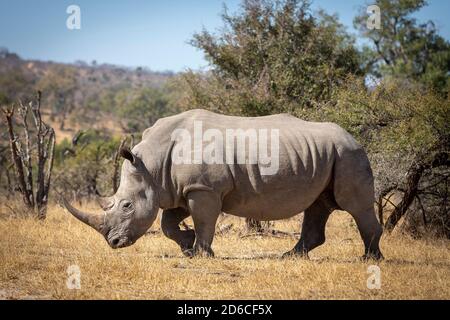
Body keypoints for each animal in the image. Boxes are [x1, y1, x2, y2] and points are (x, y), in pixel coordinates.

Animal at [64, 109, 384, 258]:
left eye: (127, 206)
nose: (114, 243)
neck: (151, 163)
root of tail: (355, 138)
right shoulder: (181, 188)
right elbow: (168, 224)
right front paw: (188, 245)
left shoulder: (203, 189)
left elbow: (205, 221)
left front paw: (201, 254)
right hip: (327, 154)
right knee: (319, 204)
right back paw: (290, 256)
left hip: (348, 153)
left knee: (353, 205)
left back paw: (370, 260)